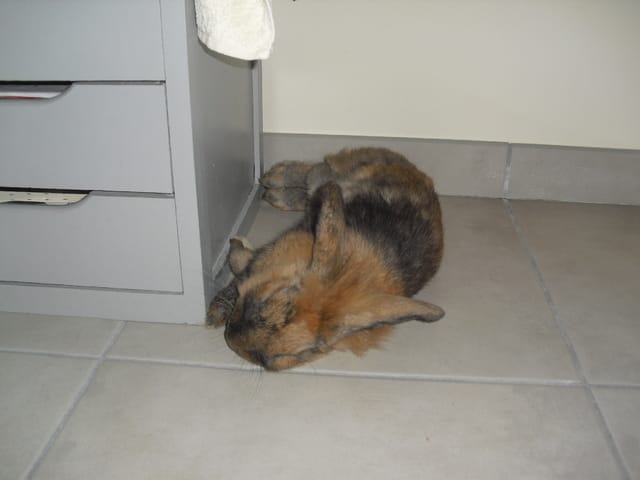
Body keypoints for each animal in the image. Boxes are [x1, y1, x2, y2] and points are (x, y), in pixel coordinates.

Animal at [207, 147, 444, 371]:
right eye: (268, 298)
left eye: (303, 353)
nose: (230, 339)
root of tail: (413, 170)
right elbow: (242, 272)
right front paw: (214, 314)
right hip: (328, 175)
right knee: (313, 172)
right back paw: (273, 178)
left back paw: (275, 192)